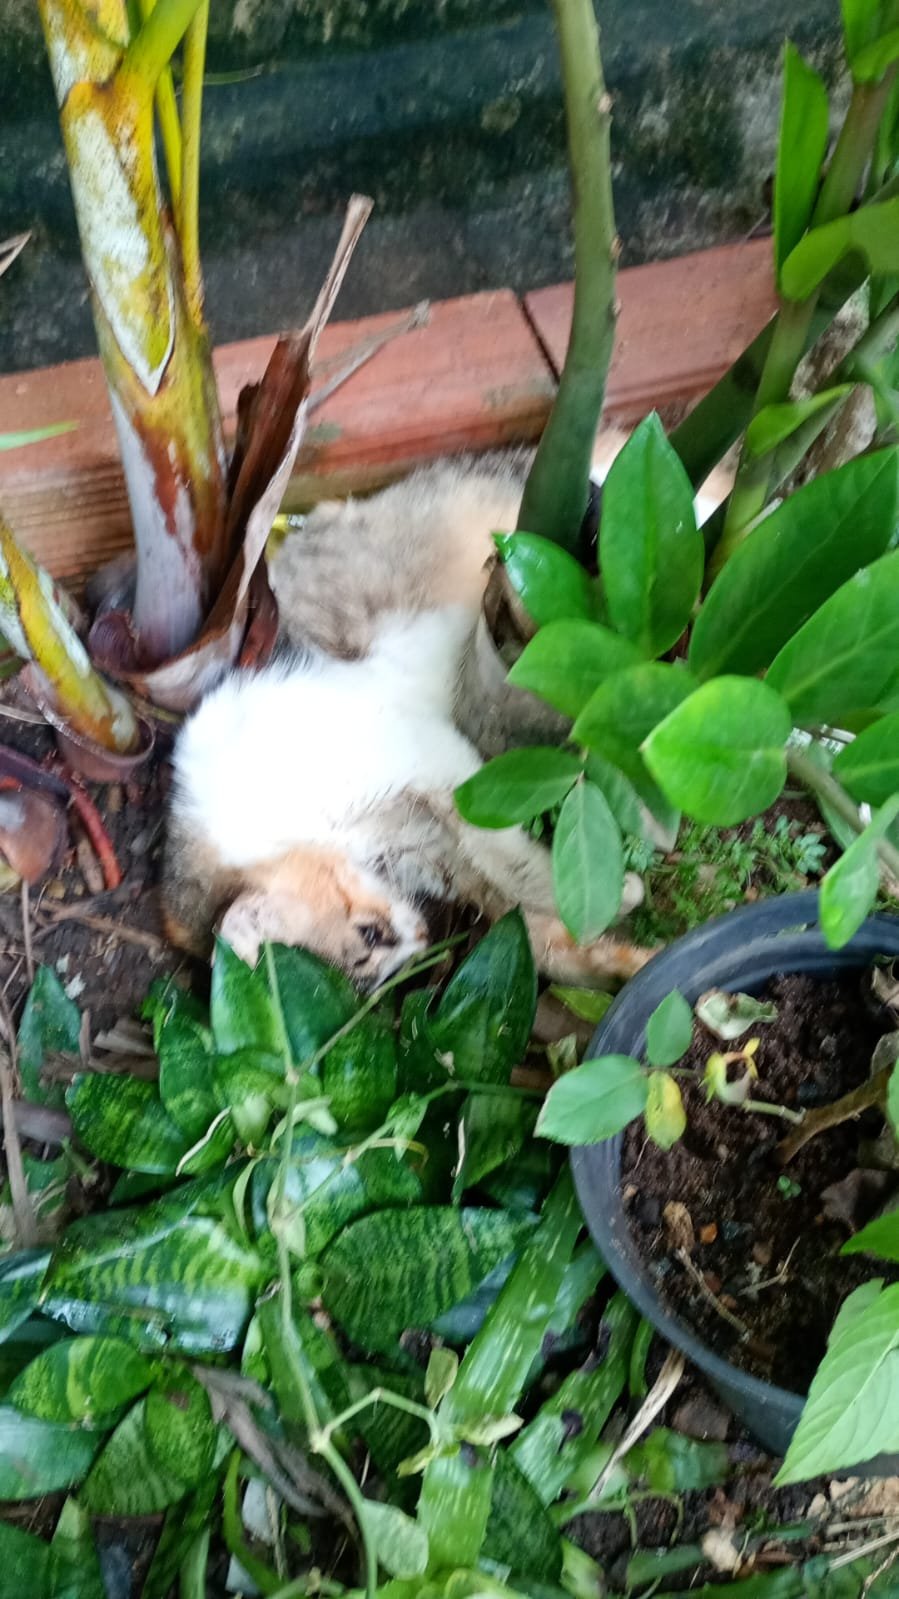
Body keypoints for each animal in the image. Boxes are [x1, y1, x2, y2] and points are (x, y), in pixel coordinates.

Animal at [162, 449, 657, 987]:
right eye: (377, 969)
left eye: (370, 935)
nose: (422, 939)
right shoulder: (434, 842)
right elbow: (533, 922)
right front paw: (626, 957)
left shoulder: (439, 766)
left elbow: (509, 858)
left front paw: (618, 890)